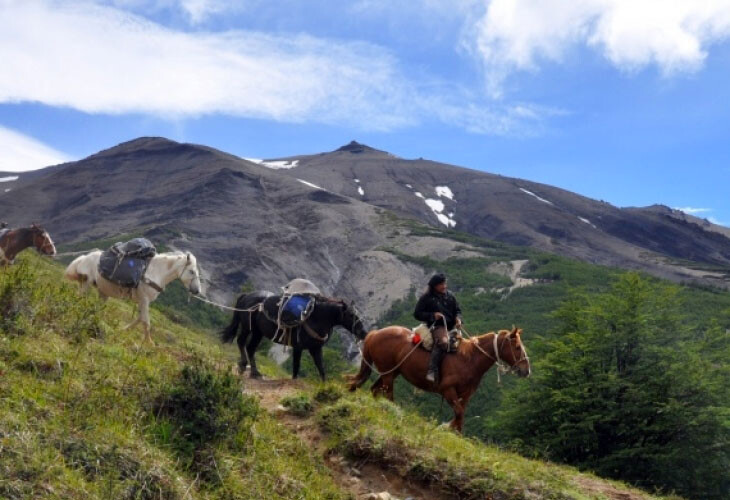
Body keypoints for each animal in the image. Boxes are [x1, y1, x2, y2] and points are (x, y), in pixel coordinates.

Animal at [65, 250, 200, 344]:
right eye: (191, 271)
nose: (197, 291)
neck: (156, 272)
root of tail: (84, 258)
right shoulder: (144, 300)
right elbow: (146, 321)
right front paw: (149, 343)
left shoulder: (142, 301)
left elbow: (140, 318)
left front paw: (123, 330)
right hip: (86, 284)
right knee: (80, 299)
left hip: (102, 291)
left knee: (94, 307)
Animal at [346, 326, 528, 432]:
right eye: (517, 347)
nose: (526, 370)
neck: (469, 359)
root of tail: (375, 333)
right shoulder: (447, 390)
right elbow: (459, 413)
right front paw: (447, 428)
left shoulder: (466, 395)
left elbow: (460, 414)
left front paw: (453, 431)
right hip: (389, 374)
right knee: (388, 395)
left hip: (390, 372)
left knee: (375, 390)